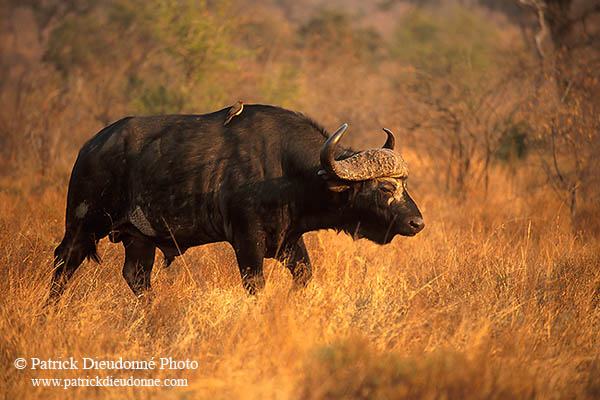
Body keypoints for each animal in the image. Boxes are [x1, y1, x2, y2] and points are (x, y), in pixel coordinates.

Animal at [49, 104, 424, 302]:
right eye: (386, 187)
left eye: (405, 184)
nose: (417, 223)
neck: (288, 172)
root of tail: (91, 147)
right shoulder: (247, 241)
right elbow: (255, 285)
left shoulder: (289, 241)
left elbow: (305, 275)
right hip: (83, 223)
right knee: (65, 261)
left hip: (140, 239)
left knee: (136, 276)